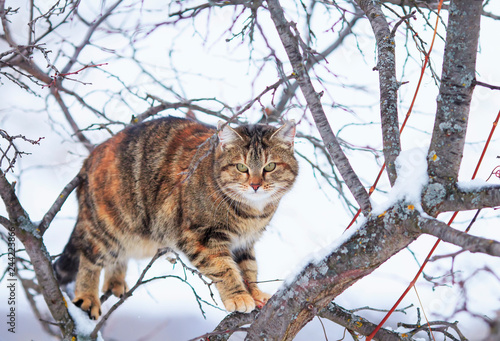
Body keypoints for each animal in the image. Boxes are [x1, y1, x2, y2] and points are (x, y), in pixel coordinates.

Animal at [53, 116, 298, 318]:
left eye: (270, 166)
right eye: (241, 167)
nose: (255, 185)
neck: (252, 213)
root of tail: (92, 155)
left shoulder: (245, 242)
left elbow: (249, 268)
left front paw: (254, 292)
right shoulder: (200, 237)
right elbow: (224, 268)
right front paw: (238, 296)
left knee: (118, 256)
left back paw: (115, 281)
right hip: (110, 228)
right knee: (89, 257)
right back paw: (87, 297)